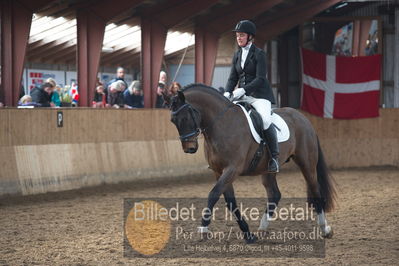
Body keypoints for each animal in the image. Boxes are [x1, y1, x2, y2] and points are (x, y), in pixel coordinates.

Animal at [164, 83, 336, 243]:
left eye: (186, 117)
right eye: (173, 120)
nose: (190, 148)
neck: (222, 124)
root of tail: (303, 118)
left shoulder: (232, 169)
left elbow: (213, 194)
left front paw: (203, 229)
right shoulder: (219, 171)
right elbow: (230, 201)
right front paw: (248, 234)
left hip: (307, 163)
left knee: (315, 190)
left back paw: (325, 229)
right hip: (268, 170)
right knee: (274, 194)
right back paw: (262, 228)